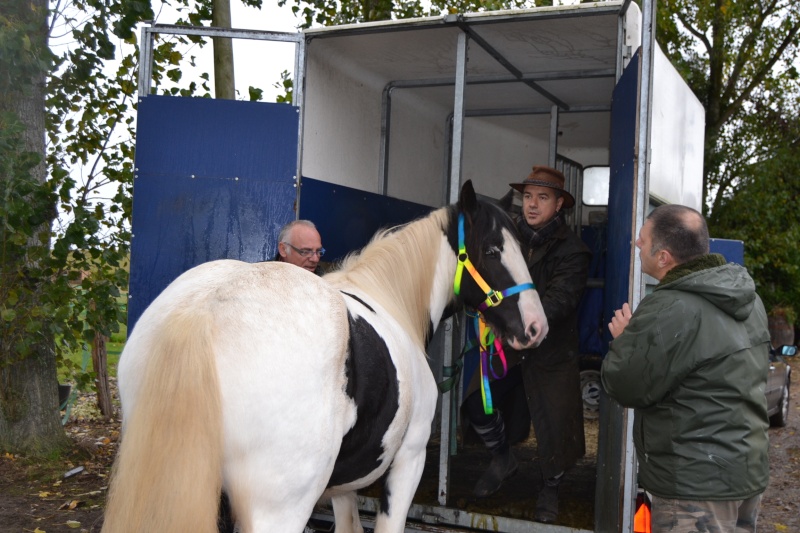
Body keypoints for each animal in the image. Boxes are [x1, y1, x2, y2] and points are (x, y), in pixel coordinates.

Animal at [103, 181, 548, 528]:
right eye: (491, 250)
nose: (535, 327)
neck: (391, 300)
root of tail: (203, 310)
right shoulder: (409, 459)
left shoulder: (343, 482)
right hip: (279, 507)